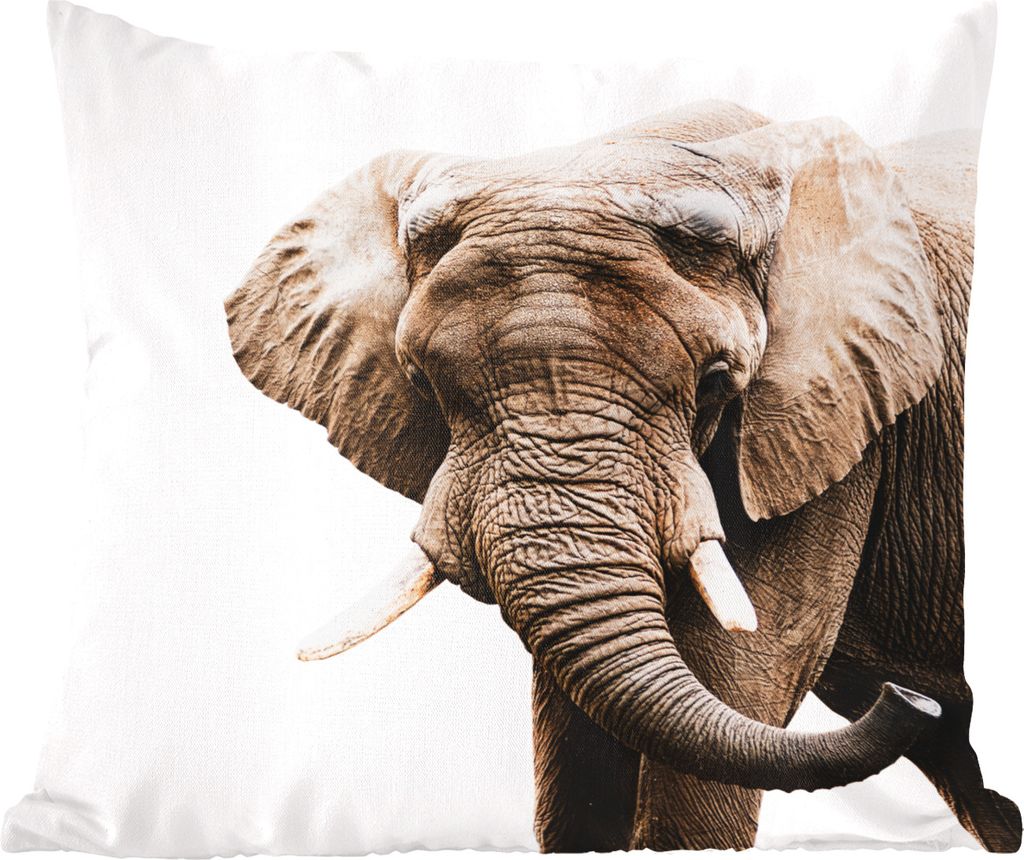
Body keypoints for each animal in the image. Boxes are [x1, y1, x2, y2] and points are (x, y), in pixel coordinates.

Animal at [224, 101, 1021, 852]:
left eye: (717, 383)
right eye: (422, 381)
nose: (909, 700)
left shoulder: (833, 422)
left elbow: (744, 666)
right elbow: (580, 732)